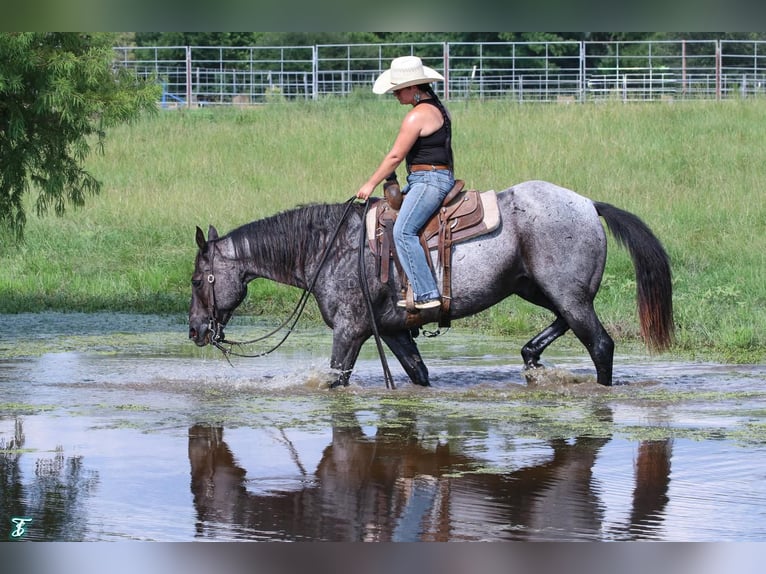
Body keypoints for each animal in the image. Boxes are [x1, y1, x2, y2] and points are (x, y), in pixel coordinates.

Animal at [189, 182, 676, 390]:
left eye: (197, 279)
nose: (195, 331)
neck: (329, 247)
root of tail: (588, 203)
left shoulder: (349, 332)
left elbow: (334, 381)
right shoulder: (393, 332)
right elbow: (419, 375)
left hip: (566, 293)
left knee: (600, 344)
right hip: (540, 288)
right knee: (563, 322)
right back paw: (531, 355)